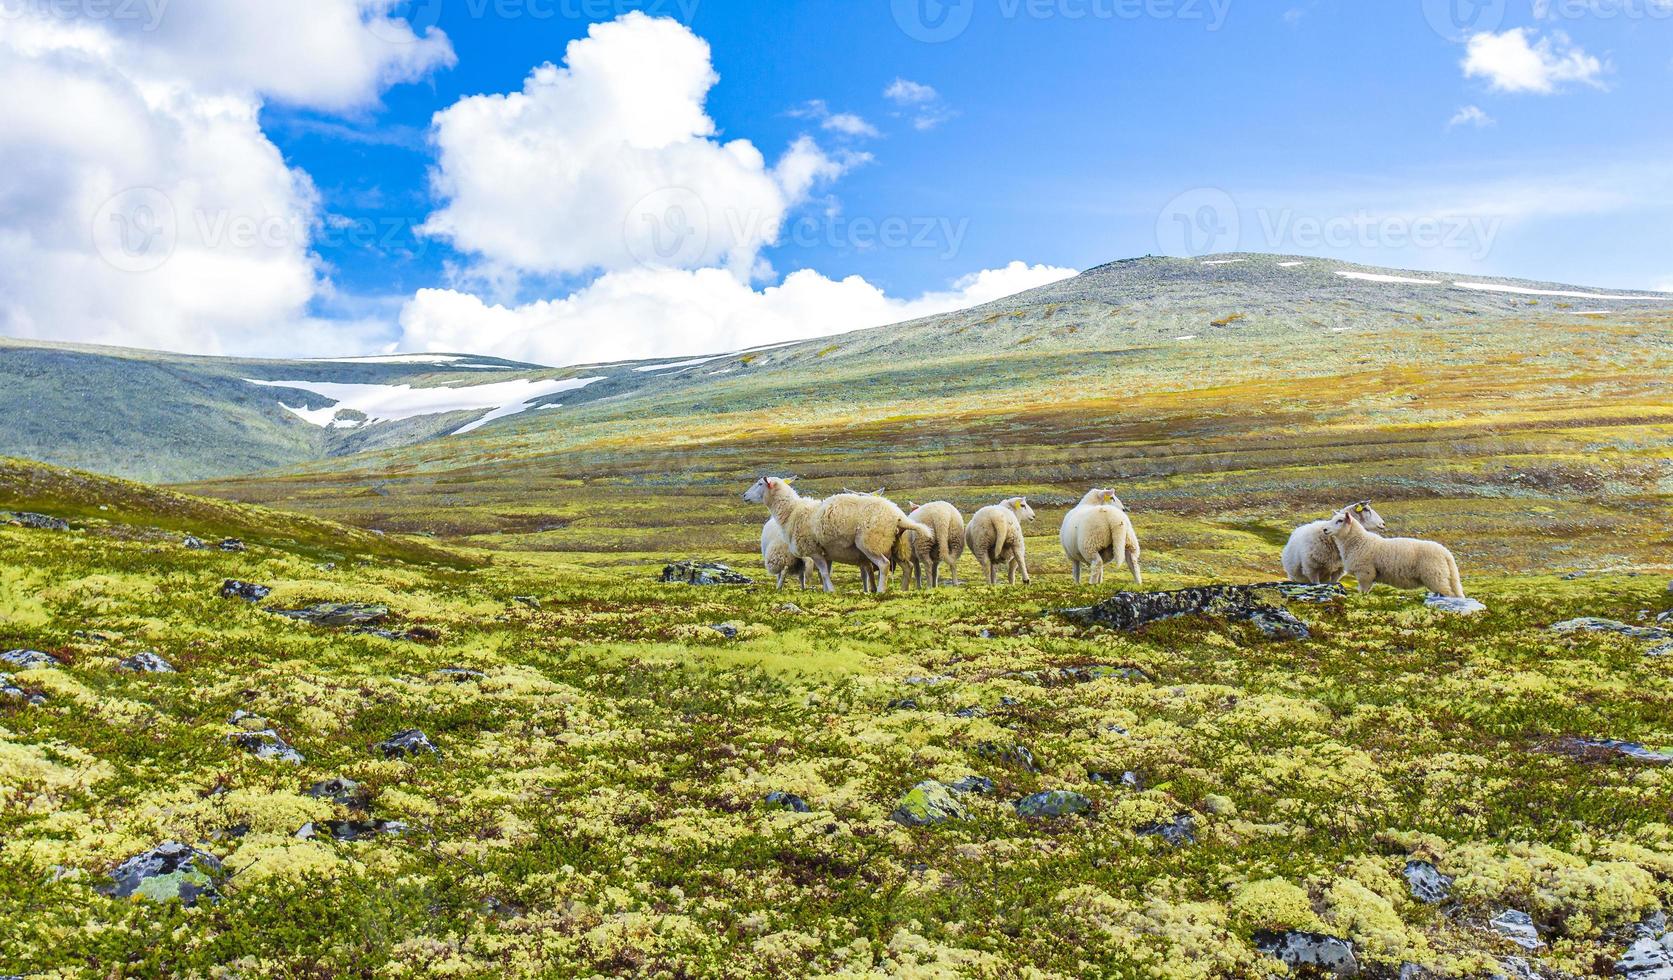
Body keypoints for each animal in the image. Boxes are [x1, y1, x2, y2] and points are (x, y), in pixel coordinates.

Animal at [742, 474, 936, 592]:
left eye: (760, 483)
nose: (744, 496)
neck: (792, 511)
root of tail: (898, 516)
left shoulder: (814, 551)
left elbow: (824, 573)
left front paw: (831, 590)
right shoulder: (825, 553)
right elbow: (825, 573)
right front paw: (826, 590)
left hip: (870, 543)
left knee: (884, 565)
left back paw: (881, 590)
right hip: (897, 545)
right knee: (908, 566)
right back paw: (903, 589)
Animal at [1318, 511, 1465, 595]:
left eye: (1340, 521)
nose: (1324, 529)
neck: (1358, 541)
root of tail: (1446, 553)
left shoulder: (1365, 572)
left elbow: (1363, 590)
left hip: (1435, 576)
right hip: (1445, 577)